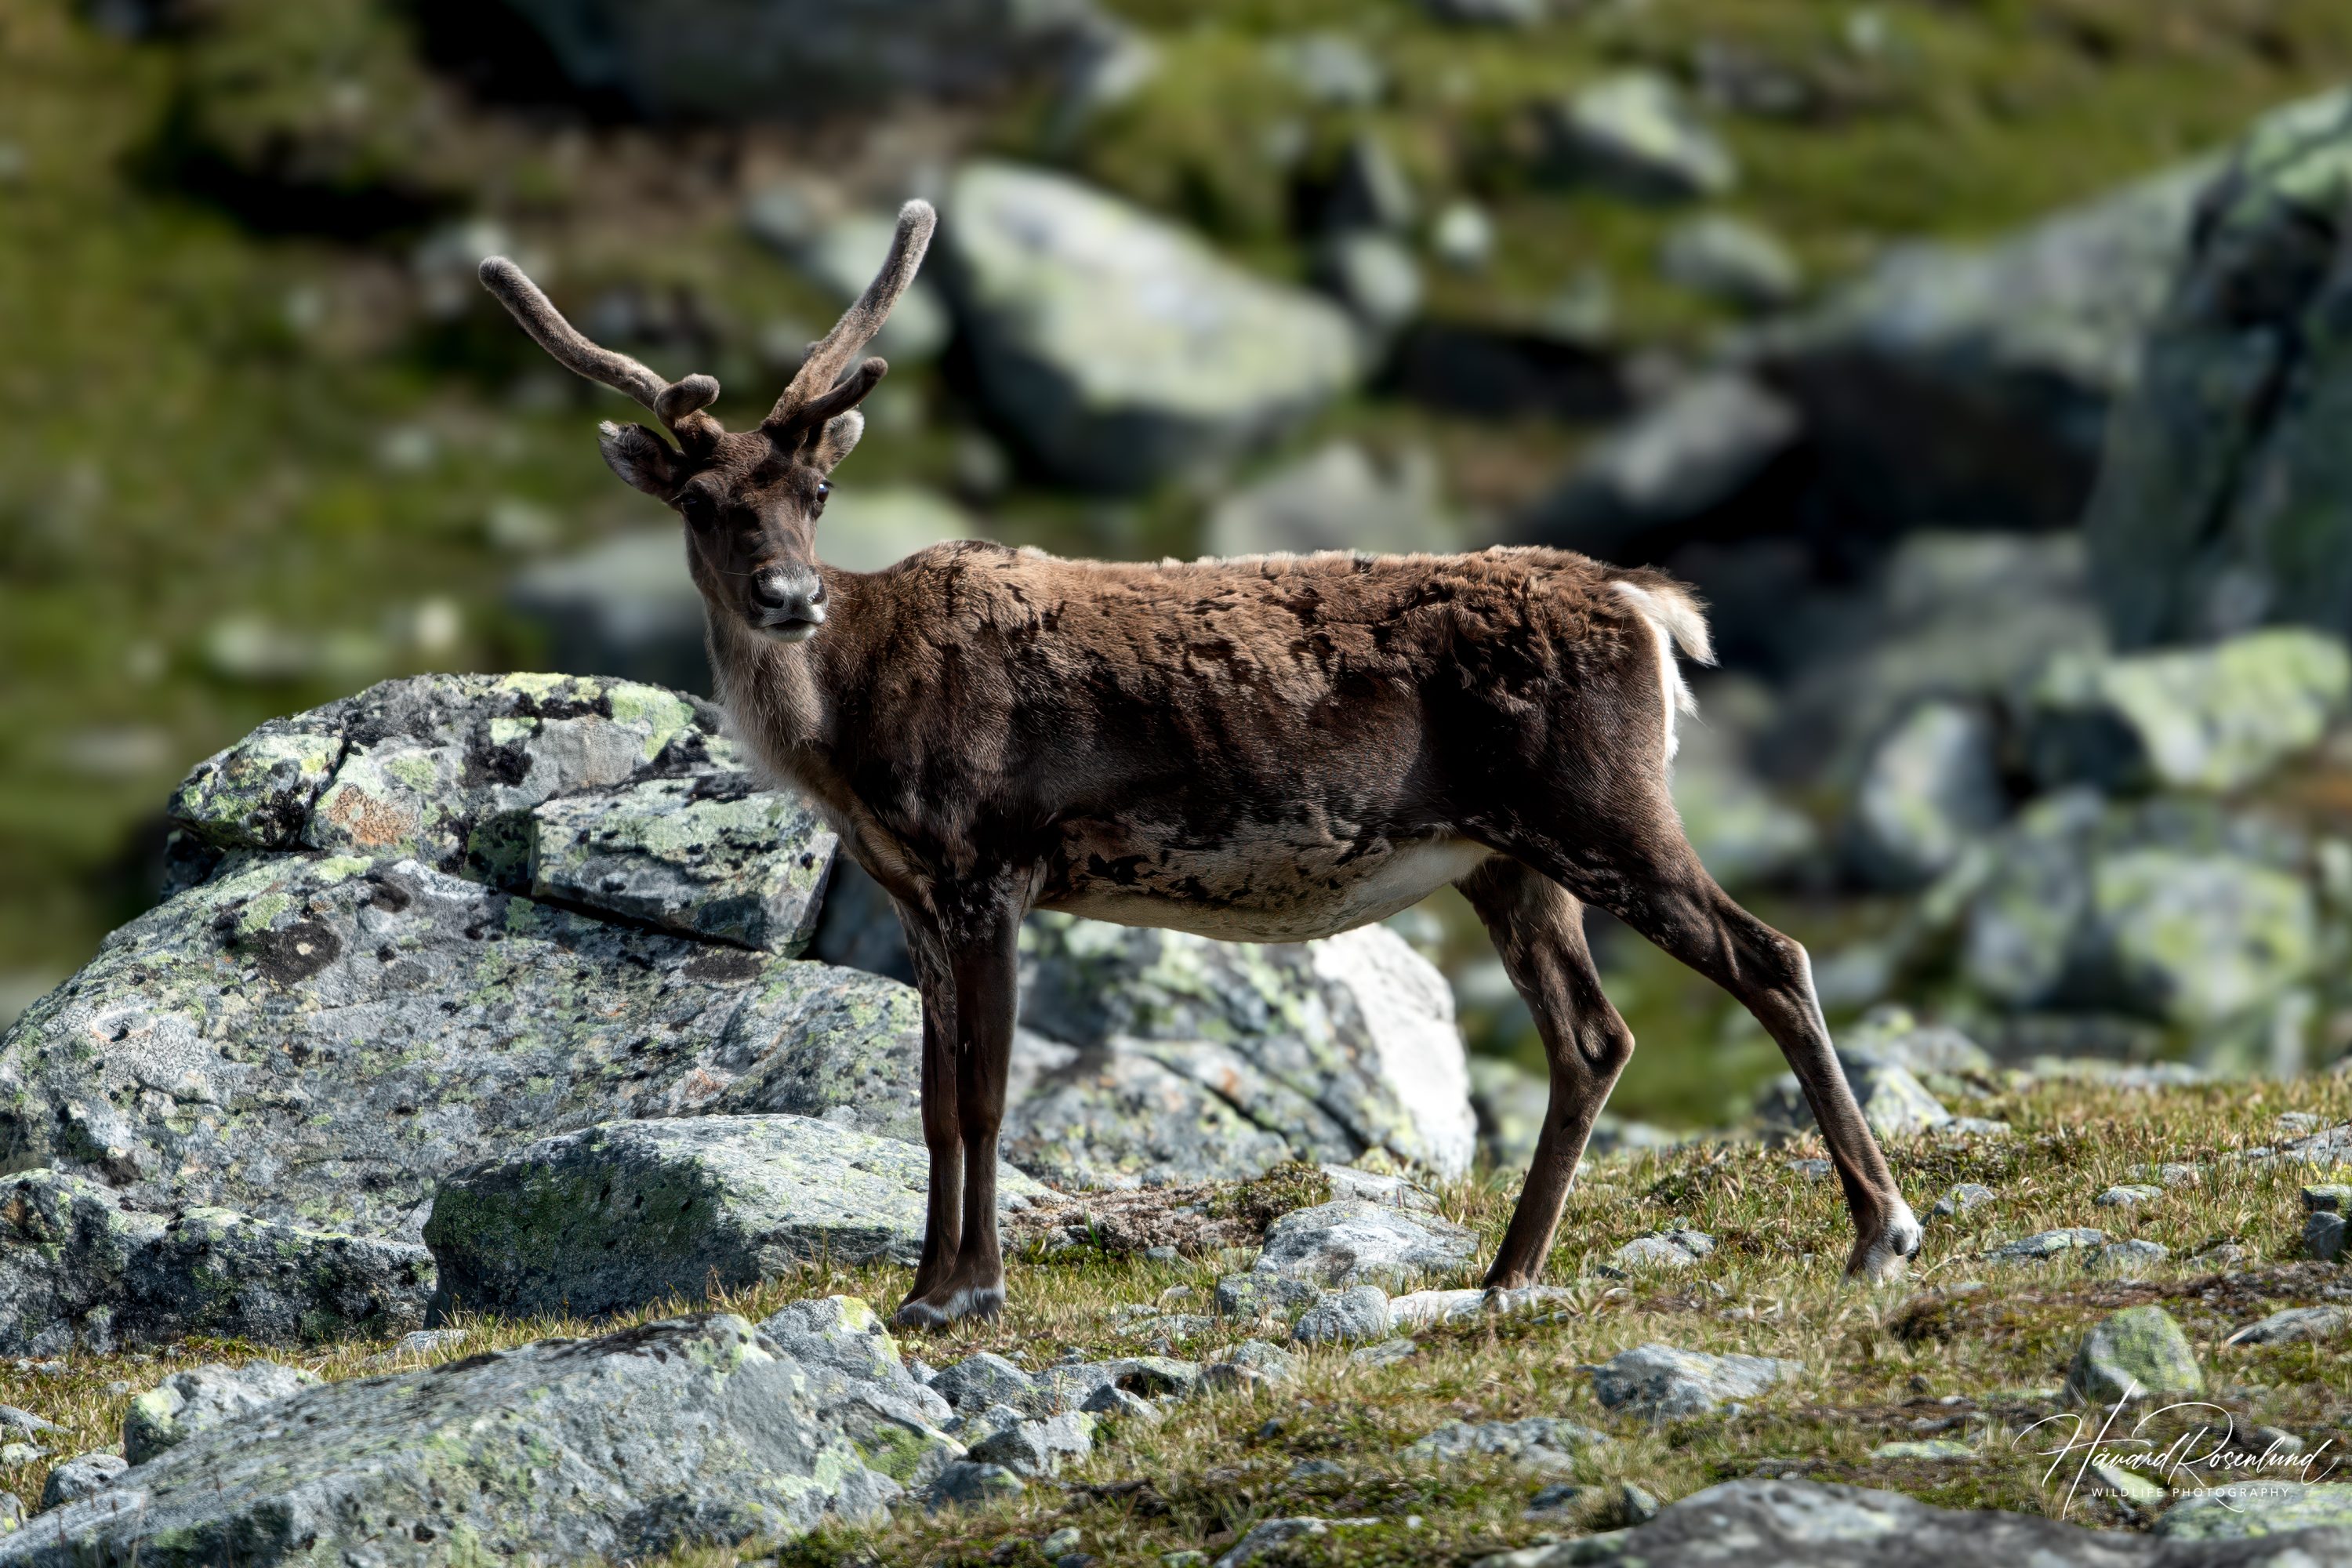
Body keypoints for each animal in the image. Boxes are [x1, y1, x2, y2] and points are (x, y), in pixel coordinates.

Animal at [479, 200, 1921, 1330]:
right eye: (704, 503)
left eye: (814, 498)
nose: (788, 598)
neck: (846, 736)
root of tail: (1648, 603)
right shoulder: (915, 895)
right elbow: (932, 1104)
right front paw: (922, 1285)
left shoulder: (993, 864)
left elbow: (987, 1097)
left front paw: (973, 1291)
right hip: (1506, 858)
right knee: (1595, 1036)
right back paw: (1506, 1275)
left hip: (1604, 805)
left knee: (1768, 955)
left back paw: (1878, 1232)